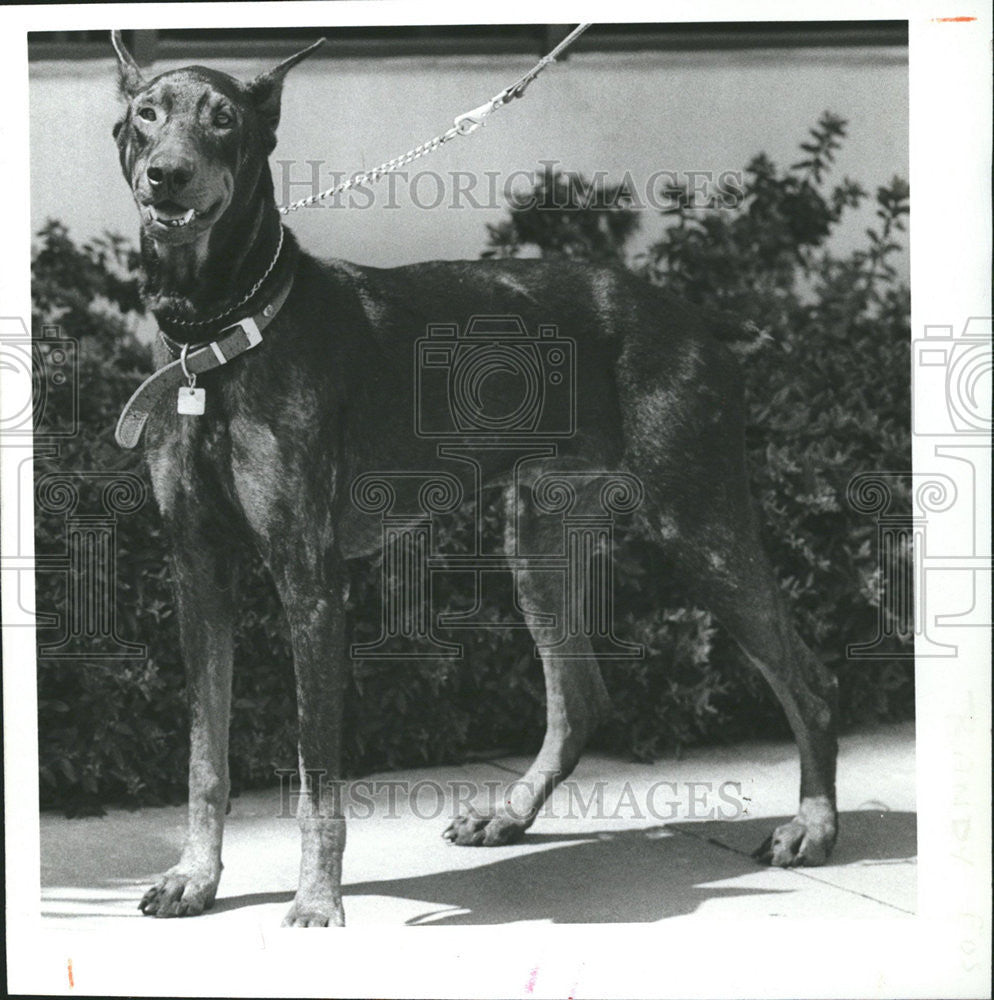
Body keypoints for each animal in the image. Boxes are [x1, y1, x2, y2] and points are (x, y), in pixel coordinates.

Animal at [110, 31, 836, 924]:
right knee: (581, 698)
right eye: (147, 114)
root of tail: (693, 315)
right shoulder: (198, 569)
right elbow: (204, 754)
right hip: (540, 535)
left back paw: (814, 826)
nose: (167, 174)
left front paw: (316, 899)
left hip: (699, 523)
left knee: (808, 681)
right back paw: (509, 814)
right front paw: (195, 875)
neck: (220, 331)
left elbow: (317, 773)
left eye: (223, 121)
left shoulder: (309, 578)